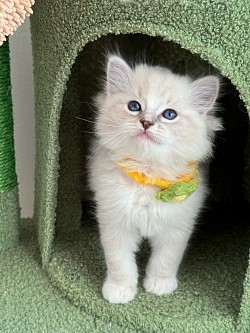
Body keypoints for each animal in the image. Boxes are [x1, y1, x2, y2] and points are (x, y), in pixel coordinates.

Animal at [88, 54, 221, 304]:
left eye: (169, 114)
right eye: (134, 106)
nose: (146, 122)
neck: (147, 173)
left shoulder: (176, 228)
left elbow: (166, 260)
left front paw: (160, 285)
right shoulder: (115, 224)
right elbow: (119, 263)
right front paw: (119, 291)